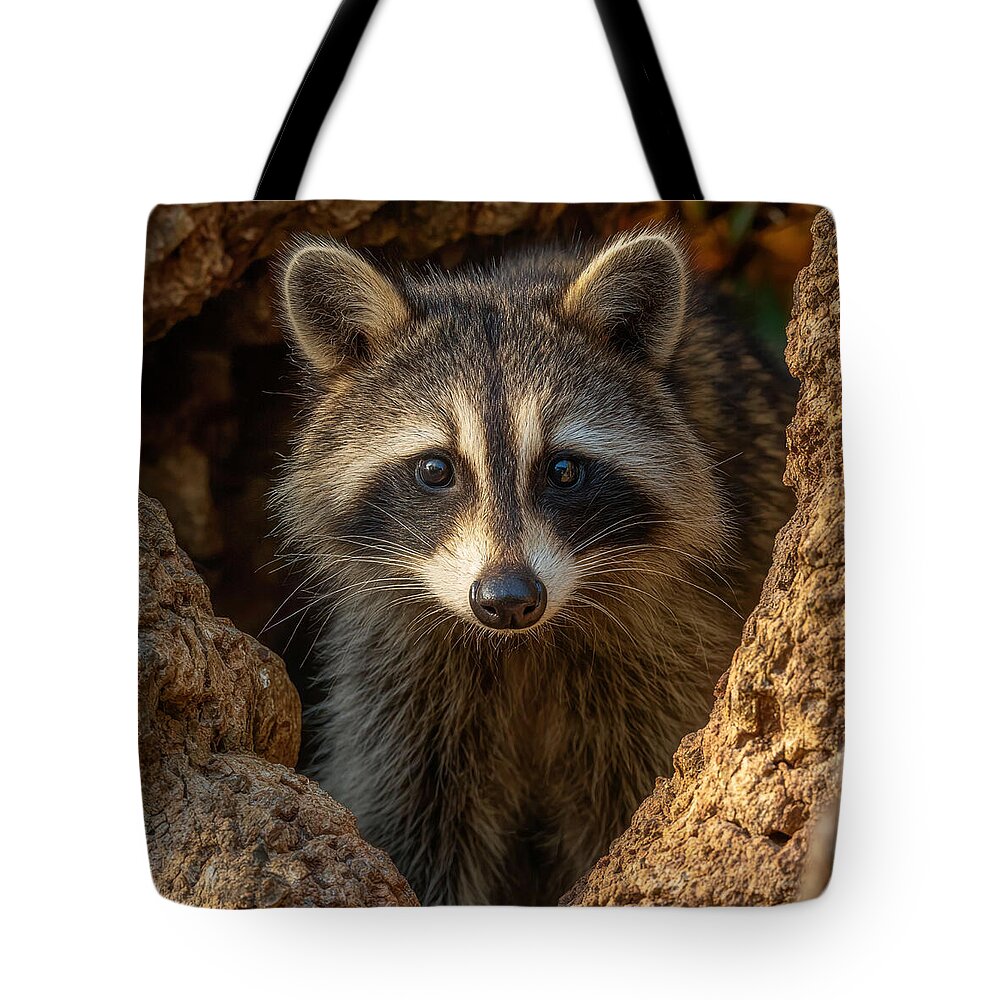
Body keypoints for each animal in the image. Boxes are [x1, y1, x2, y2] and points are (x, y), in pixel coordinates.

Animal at [271, 225, 795, 905]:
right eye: (436, 468)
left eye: (563, 469)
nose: (508, 598)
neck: (523, 647)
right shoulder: (400, 670)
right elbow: (410, 812)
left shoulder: (669, 646)